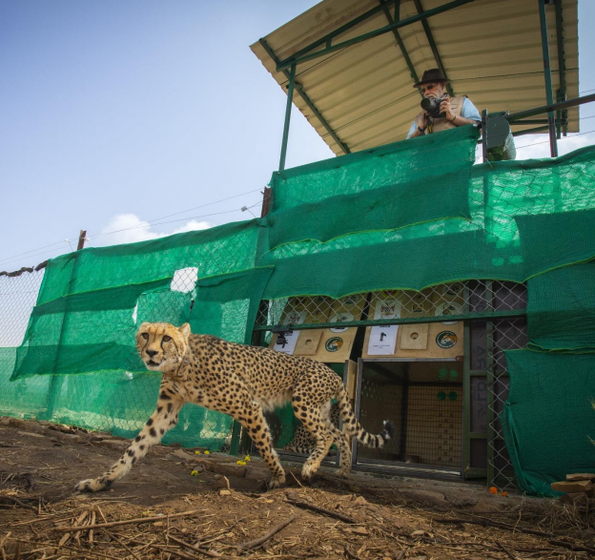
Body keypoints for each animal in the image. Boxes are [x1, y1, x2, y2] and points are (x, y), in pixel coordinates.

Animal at [74, 322, 394, 492]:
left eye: (166, 338)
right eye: (145, 335)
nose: (151, 352)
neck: (181, 365)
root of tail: (332, 372)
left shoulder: (247, 405)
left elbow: (264, 446)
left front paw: (277, 477)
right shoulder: (166, 410)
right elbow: (134, 448)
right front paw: (102, 480)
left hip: (303, 402)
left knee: (328, 435)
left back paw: (310, 467)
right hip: (318, 409)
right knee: (340, 435)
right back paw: (343, 472)